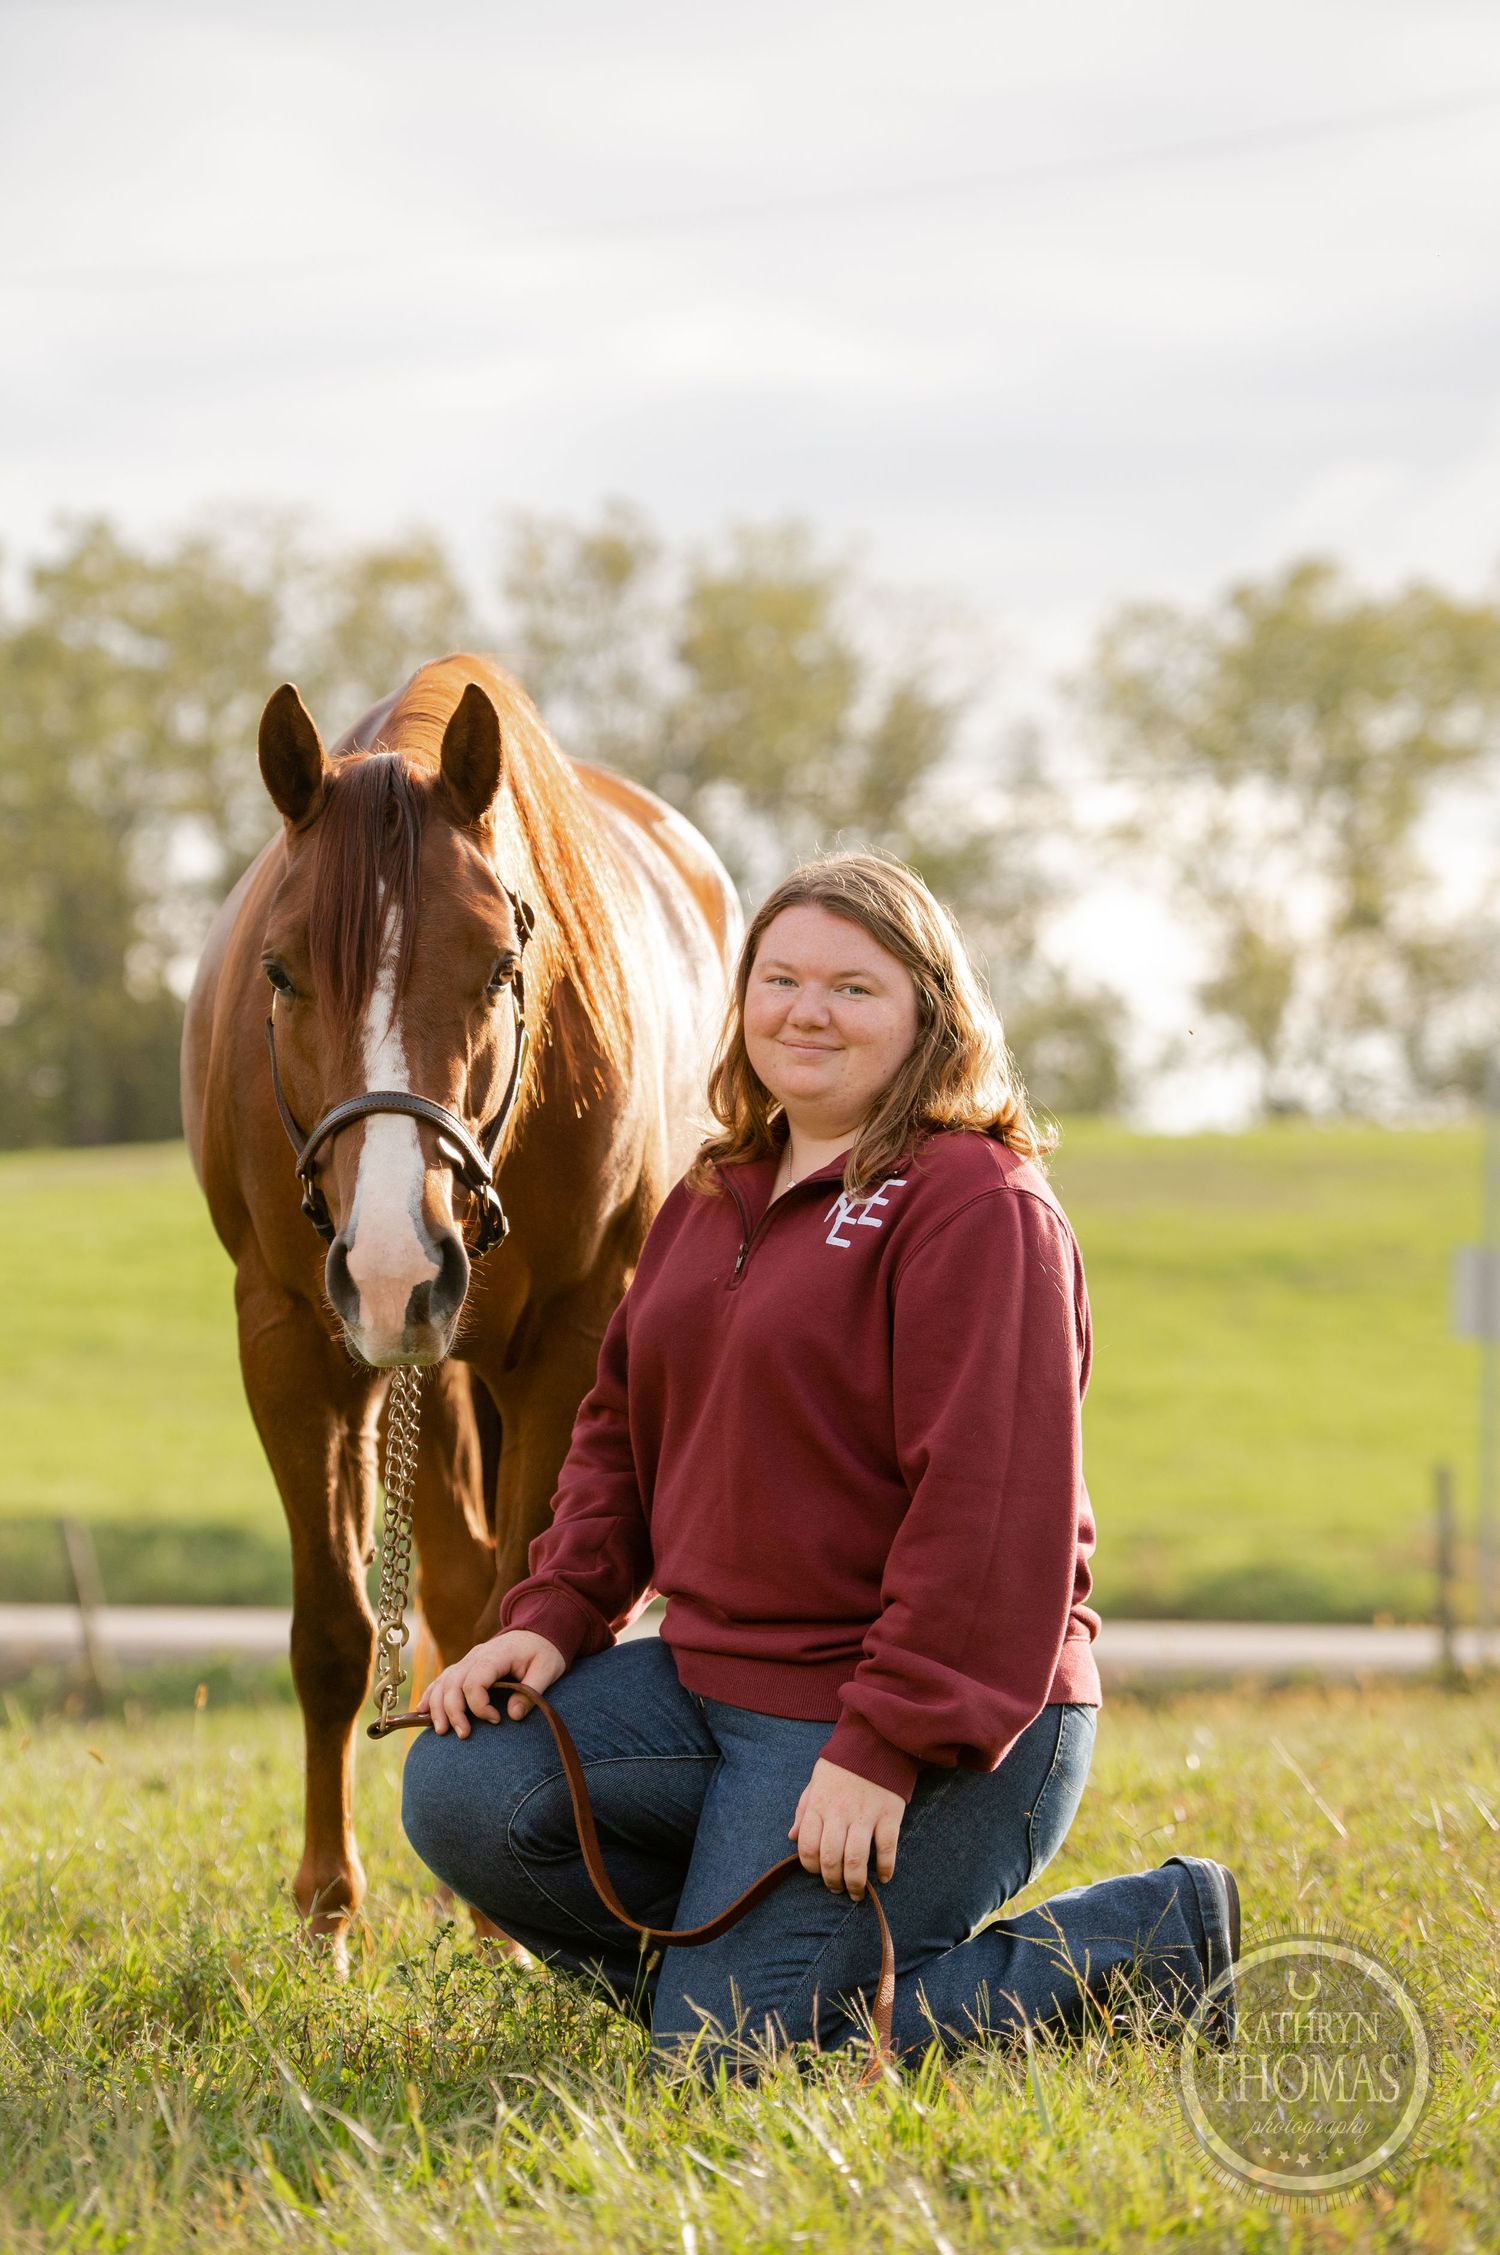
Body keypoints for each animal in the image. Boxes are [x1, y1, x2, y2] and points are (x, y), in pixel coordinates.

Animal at [181, 655, 740, 1944]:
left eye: (497, 966)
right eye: (280, 970)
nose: (394, 1261)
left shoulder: (573, 1341)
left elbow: (510, 1617)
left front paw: (501, 1922)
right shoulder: (292, 1338)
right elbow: (336, 1634)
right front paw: (327, 1916)